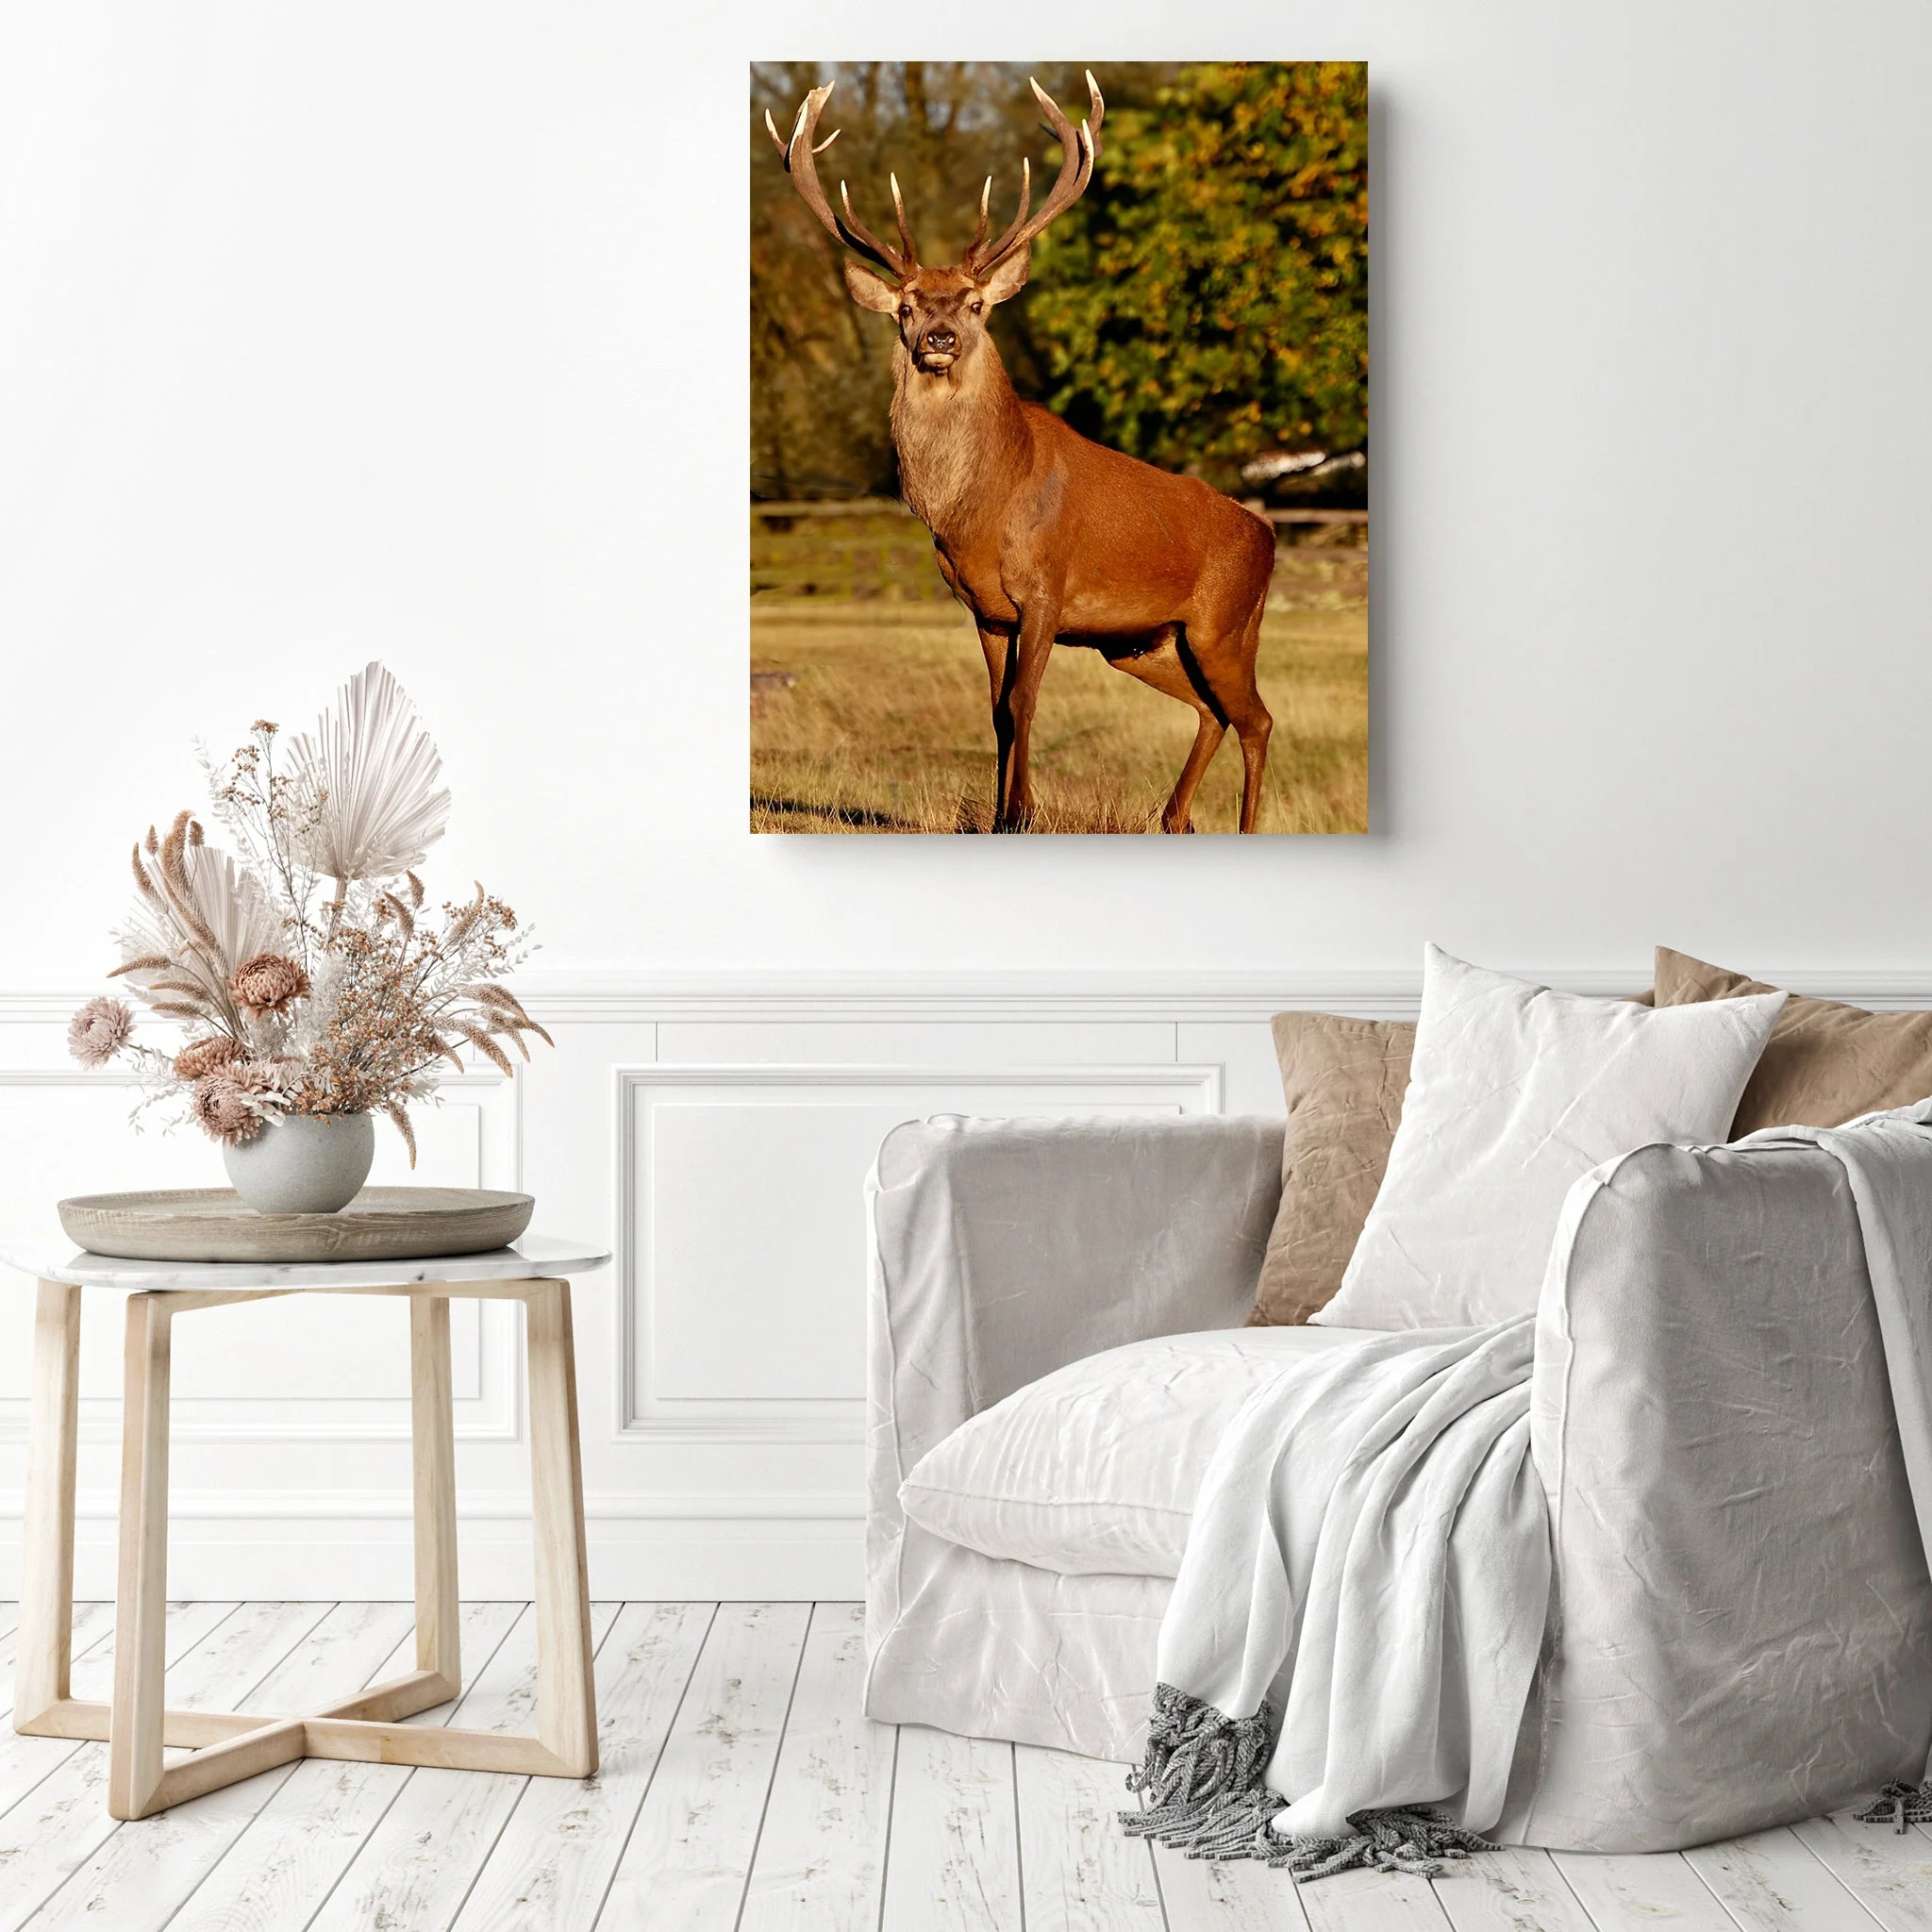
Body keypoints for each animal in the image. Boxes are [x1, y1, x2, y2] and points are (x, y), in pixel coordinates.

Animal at [767, 73, 1278, 833]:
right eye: (907, 307)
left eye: (976, 304)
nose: (940, 337)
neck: (982, 512)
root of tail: (1270, 535)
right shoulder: (983, 609)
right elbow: (996, 713)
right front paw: (1002, 814)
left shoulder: (1046, 590)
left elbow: (1023, 702)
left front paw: (1020, 813)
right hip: (1145, 644)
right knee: (1215, 714)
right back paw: (1174, 818)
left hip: (1225, 624)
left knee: (1257, 719)